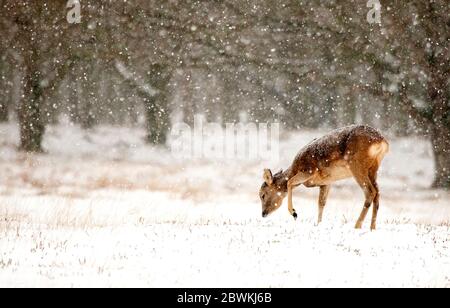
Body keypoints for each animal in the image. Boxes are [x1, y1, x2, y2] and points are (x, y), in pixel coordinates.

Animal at [260, 125, 390, 231]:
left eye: (262, 194)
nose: (263, 213)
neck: (294, 168)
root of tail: (383, 142)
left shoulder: (309, 170)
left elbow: (290, 182)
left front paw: (294, 213)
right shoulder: (326, 182)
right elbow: (321, 203)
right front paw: (319, 224)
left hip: (357, 165)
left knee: (370, 192)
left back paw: (357, 225)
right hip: (373, 168)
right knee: (377, 193)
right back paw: (372, 228)